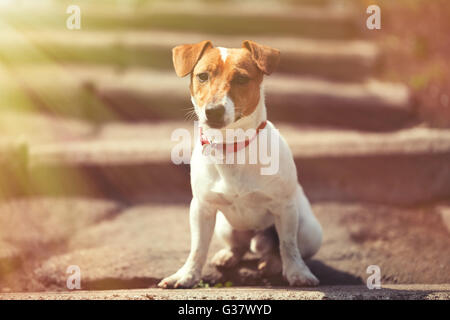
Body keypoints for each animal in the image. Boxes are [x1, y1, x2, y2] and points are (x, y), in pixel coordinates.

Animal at [158, 40, 320, 290]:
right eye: (202, 76)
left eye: (242, 79)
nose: (213, 111)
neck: (232, 146)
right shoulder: (202, 208)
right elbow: (197, 248)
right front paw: (186, 275)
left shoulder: (285, 208)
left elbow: (289, 246)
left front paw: (297, 273)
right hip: (225, 226)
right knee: (239, 247)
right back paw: (228, 256)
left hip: (309, 231)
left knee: (280, 249)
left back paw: (272, 264)